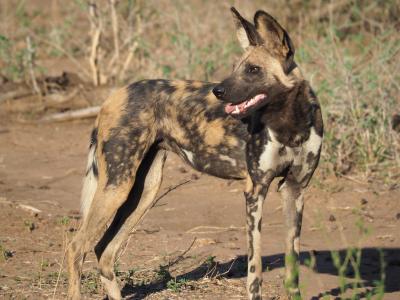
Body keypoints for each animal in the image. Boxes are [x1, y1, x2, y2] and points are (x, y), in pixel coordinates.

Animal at [67, 7, 324, 300]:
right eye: (236, 68)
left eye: (253, 70)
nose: (218, 91)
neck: (290, 125)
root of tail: (115, 95)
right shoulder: (255, 191)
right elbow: (255, 271)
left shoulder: (294, 190)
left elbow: (292, 269)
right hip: (117, 187)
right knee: (77, 247)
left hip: (143, 192)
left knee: (103, 251)